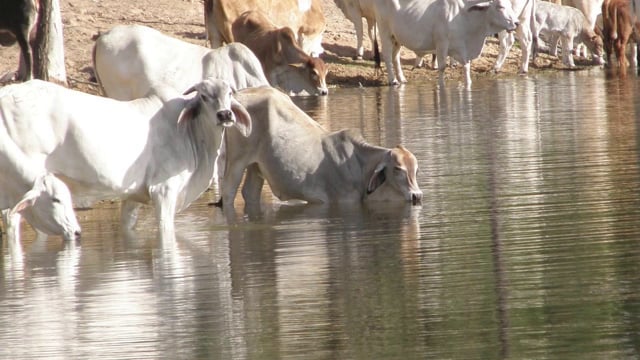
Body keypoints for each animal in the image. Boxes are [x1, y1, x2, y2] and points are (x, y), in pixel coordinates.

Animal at [0, 79, 252, 242]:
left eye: (230, 94)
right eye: (204, 96)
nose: (225, 115)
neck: (192, 134)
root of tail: (7, 93)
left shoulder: (133, 197)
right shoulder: (164, 191)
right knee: (13, 220)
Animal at [221, 87, 424, 210]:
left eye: (416, 170)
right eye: (397, 169)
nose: (417, 196)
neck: (360, 167)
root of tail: (237, 96)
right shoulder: (341, 202)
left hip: (256, 166)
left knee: (250, 193)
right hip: (237, 162)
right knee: (228, 193)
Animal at [372, 0, 516, 86]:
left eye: (510, 6)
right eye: (500, 7)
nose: (516, 22)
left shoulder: (462, 48)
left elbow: (466, 66)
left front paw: (468, 82)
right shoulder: (441, 43)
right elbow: (442, 66)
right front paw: (441, 84)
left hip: (397, 38)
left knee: (395, 57)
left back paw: (401, 78)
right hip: (384, 31)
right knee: (387, 56)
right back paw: (393, 80)